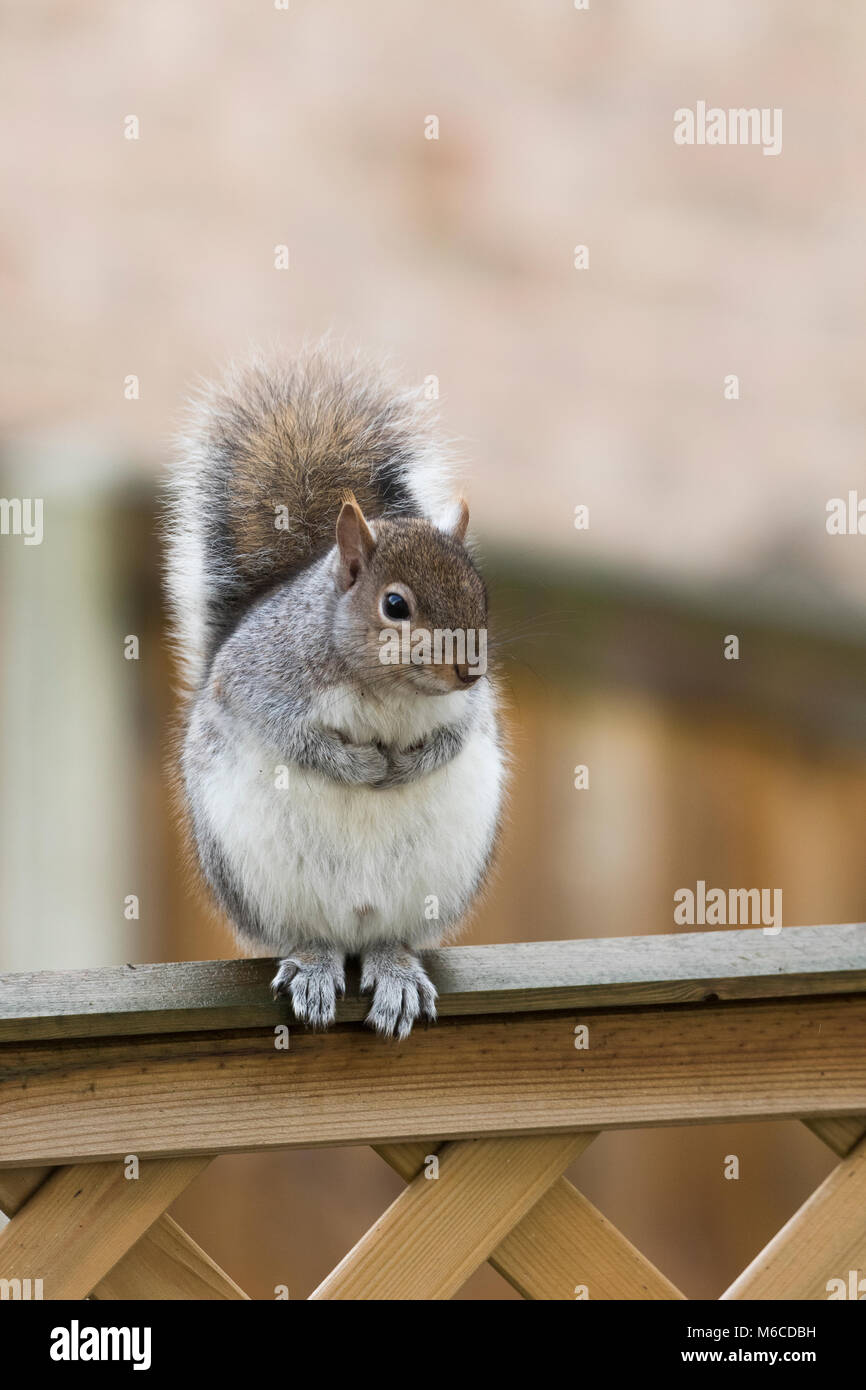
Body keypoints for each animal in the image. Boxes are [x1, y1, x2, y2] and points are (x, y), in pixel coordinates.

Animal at [166, 353, 508, 1039]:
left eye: (479, 593)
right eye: (395, 605)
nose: (469, 672)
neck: (388, 690)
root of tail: (354, 926)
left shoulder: (470, 712)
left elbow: (454, 736)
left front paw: (406, 765)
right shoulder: (259, 684)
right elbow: (295, 737)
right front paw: (360, 765)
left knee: (389, 938)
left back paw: (395, 971)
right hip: (264, 881)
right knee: (308, 935)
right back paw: (315, 965)